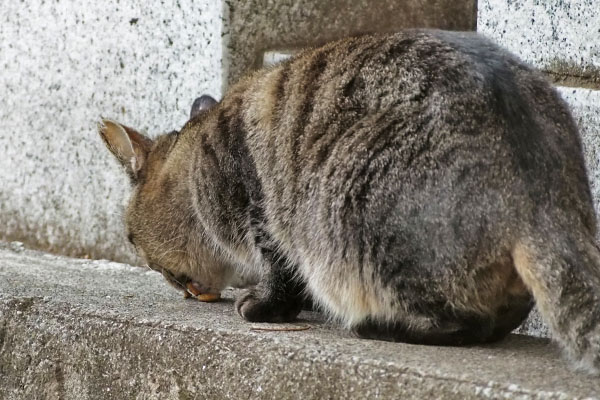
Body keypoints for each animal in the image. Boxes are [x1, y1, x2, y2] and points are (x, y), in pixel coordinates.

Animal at [99, 29, 600, 374]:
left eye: (131, 240)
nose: (171, 281)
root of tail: (545, 194)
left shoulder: (260, 211)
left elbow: (279, 272)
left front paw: (264, 306)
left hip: (354, 214)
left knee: (467, 323)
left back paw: (374, 324)